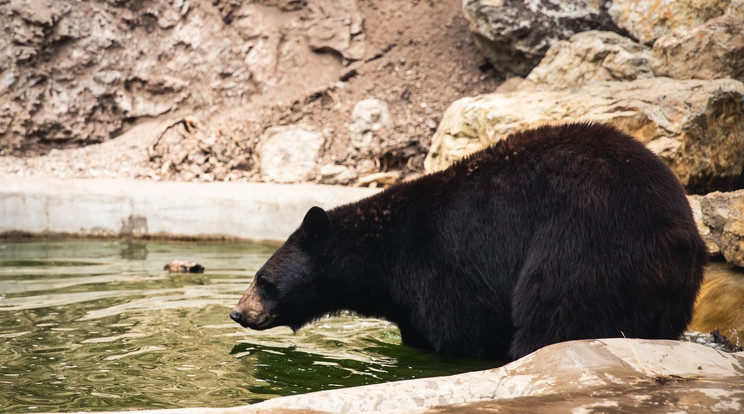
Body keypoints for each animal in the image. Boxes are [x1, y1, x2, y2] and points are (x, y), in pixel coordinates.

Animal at [230, 122, 708, 360]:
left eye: (263, 279)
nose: (237, 312)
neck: (383, 257)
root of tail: (682, 236)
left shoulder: (440, 267)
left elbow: (463, 330)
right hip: (670, 292)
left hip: (587, 242)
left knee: (552, 309)